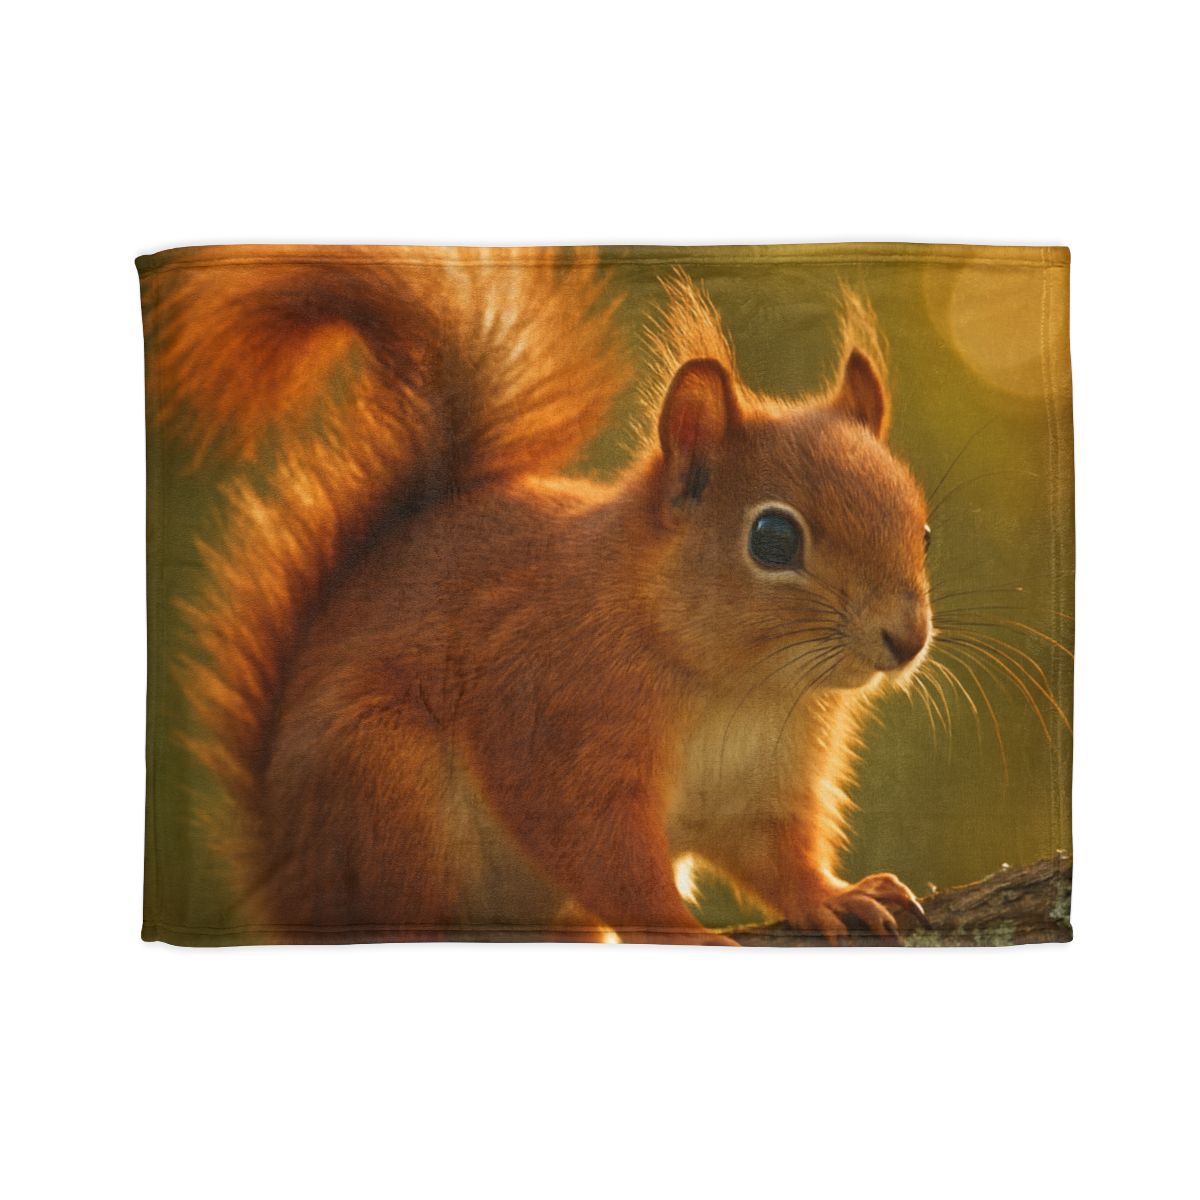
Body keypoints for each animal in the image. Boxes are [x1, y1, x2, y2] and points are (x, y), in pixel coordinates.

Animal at [142, 245, 934, 945]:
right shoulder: (555, 720)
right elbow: (605, 855)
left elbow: (775, 856)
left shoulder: (766, 786)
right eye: (773, 538)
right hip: (385, 783)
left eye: (923, 529)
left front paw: (833, 896)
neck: (738, 685)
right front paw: (686, 935)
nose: (907, 638)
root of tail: (288, 886)